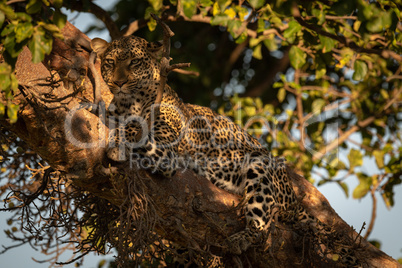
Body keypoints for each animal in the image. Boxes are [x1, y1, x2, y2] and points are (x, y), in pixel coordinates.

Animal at [89, 35, 356, 264]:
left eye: (134, 62)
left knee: (264, 223)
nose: (118, 83)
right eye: (110, 63)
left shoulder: (166, 151)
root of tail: (294, 198)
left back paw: (240, 239)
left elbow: (134, 130)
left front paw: (117, 139)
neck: (128, 104)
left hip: (260, 164)